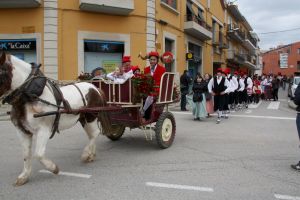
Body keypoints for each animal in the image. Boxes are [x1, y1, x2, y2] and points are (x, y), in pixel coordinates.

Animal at [0, 52, 107, 186]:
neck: (30, 95)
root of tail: (95, 87)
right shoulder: (22, 131)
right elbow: (26, 155)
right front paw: (24, 176)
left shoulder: (43, 130)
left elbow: (39, 154)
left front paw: (53, 168)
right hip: (83, 119)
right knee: (92, 135)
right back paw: (91, 155)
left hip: (91, 117)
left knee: (95, 133)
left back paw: (86, 154)